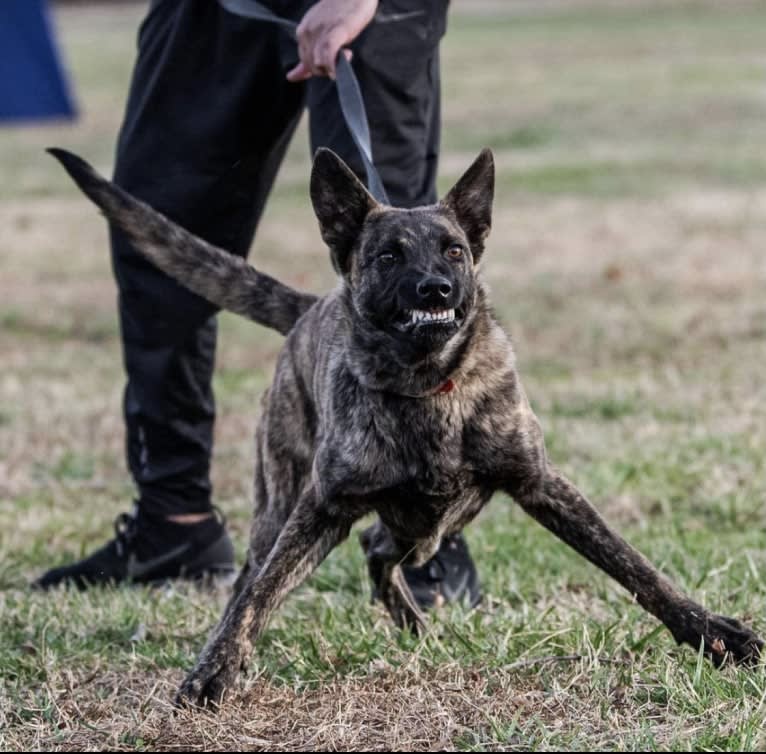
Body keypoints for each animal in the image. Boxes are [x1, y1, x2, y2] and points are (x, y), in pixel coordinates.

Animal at [51, 147, 764, 704]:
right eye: (390, 256)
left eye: (454, 250)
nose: (436, 289)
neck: (427, 389)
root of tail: (312, 307)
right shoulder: (320, 506)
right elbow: (259, 595)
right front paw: (216, 671)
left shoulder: (540, 484)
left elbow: (636, 567)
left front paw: (713, 634)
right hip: (286, 505)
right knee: (260, 573)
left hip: (438, 519)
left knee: (378, 550)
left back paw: (417, 626)